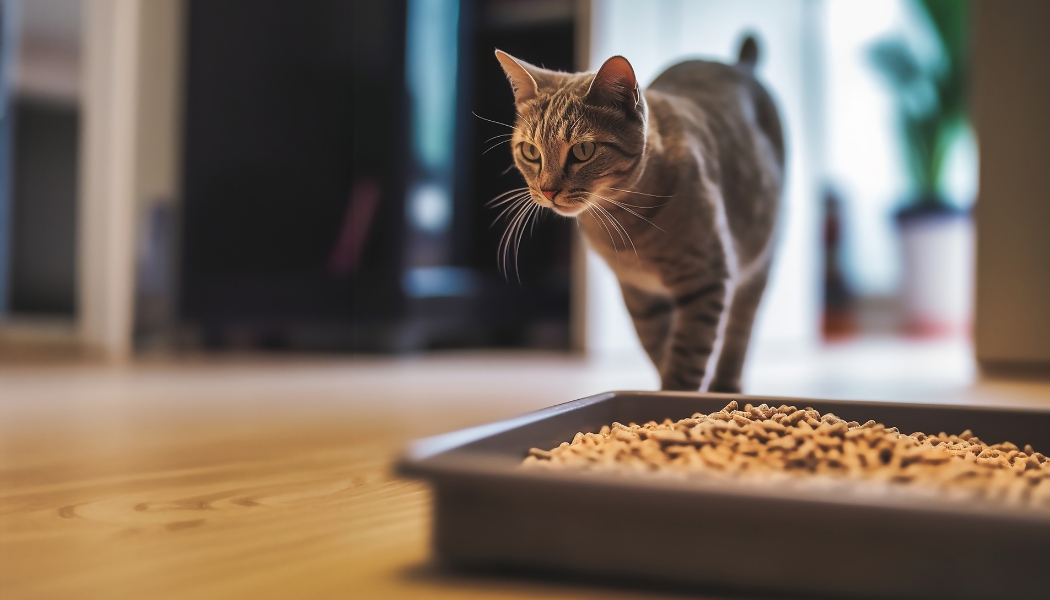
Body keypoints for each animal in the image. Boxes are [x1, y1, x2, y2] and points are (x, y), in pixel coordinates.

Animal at [491, 38, 781, 395]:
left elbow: (688, 355)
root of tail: (738, 64)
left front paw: (679, 394)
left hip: (758, 264)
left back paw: (726, 385)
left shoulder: (706, 279)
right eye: (531, 152)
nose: (547, 191)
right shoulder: (638, 293)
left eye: (583, 151)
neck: (628, 221)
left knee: (740, 328)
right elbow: (660, 348)